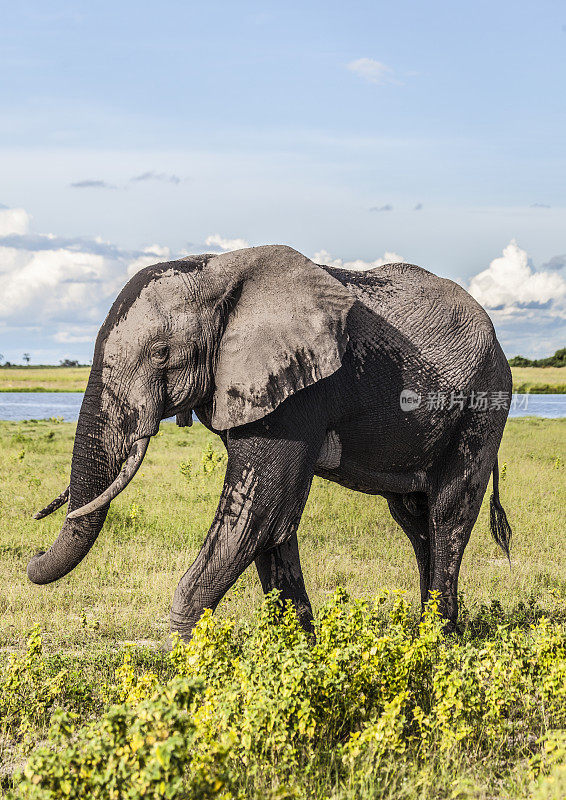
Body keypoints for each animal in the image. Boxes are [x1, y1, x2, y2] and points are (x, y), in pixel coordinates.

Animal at [28, 244, 512, 636]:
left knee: (448, 512)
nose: (33, 552)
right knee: (414, 518)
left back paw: (437, 642)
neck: (215, 271)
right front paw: (300, 657)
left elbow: (258, 513)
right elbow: (275, 524)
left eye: (161, 354)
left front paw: (187, 659)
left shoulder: (299, 394)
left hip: (483, 404)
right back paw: (425, 633)